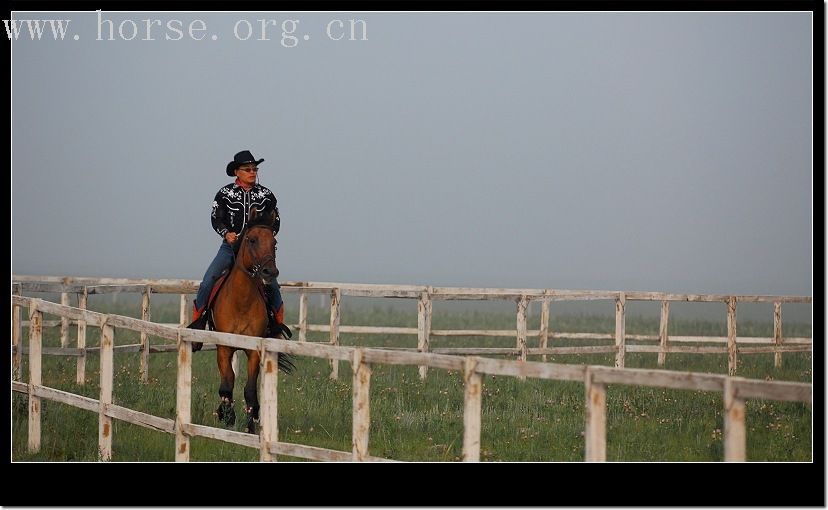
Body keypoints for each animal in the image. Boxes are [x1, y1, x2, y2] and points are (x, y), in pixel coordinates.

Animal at [205, 207, 292, 434]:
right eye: (252, 240)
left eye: (274, 242)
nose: (270, 272)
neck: (241, 301)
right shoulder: (224, 347)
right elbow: (227, 386)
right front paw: (227, 417)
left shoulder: (254, 350)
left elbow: (250, 390)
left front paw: (251, 424)